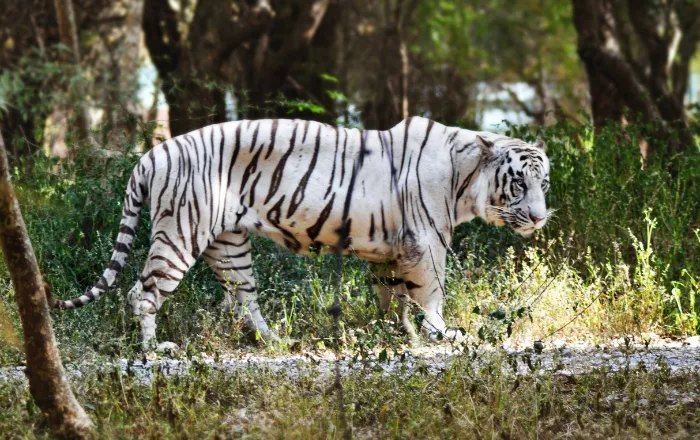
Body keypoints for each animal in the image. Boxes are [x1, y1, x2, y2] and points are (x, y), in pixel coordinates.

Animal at [50, 117, 550, 351]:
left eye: (543, 184)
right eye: (518, 184)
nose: (540, 218)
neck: (466, 178)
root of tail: (151, 154)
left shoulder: (388, 252)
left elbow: (392, 297)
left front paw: (396, 333)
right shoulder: (427, 243)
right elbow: (431, 294)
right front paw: (441, 334)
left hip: (229, 245)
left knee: (244, 299)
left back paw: (276, 342)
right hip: (180, 233)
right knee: (142, 291)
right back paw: (156, 350)